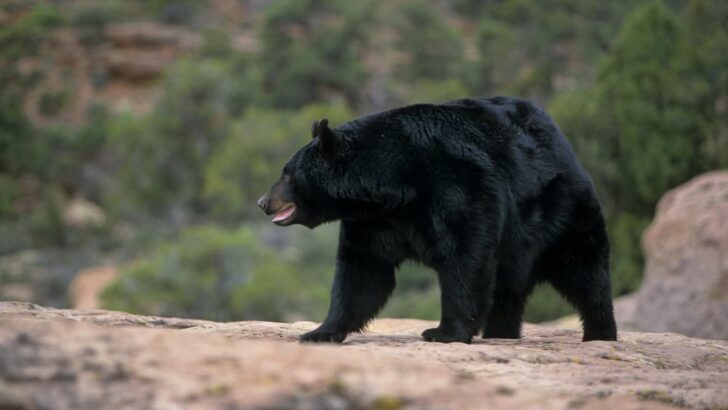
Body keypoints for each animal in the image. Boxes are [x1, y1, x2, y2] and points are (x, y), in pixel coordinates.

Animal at [257, 96, 618, 344]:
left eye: (287, 174)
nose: (263, 202)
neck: (391, 187)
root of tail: (560, 138)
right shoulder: (372, 223)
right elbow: (362, 271)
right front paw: (320, 332)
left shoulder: (457, 185)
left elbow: (465, 257)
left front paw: (443, 332)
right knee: (508, 287)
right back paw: (500, 332)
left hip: (559, 212)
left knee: (585, 271)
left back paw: (600, 332)